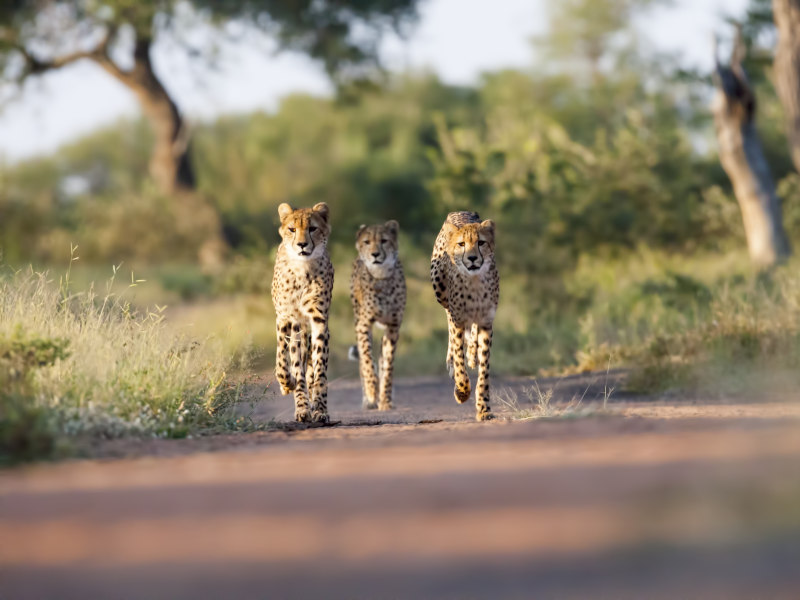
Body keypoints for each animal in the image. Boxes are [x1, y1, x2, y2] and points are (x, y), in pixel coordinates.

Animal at [268, 202, 332, 422]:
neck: (302, 268)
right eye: (292, 229)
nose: (302, 245)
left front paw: (320, 409)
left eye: (312, 228)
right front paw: (288, 384)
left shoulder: (319, 320)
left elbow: (320, 369)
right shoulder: (287, 318)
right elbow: (284, 359)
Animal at [348, 218, 406, 410]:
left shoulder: (393, 327)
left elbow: (387, 366)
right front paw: (372, 392)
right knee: (362, 362)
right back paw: (368, 399)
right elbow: (366, 361)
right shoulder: (364, 325)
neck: (381, 276)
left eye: (384, 241)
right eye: (367, 242)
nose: (375, 254)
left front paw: (385, 400)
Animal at [432, 211, 500, 422]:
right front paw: (462, 391)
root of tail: (460, 212)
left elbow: (484, 370)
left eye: (481, 242)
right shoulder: (458, 320)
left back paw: (471, 353)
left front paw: (484, 408)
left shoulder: (486, 322)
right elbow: (458, 358)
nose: (471, 258)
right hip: (439, 289)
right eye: (462, 244)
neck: (475, 281)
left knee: (471, 336)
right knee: (449, 322)